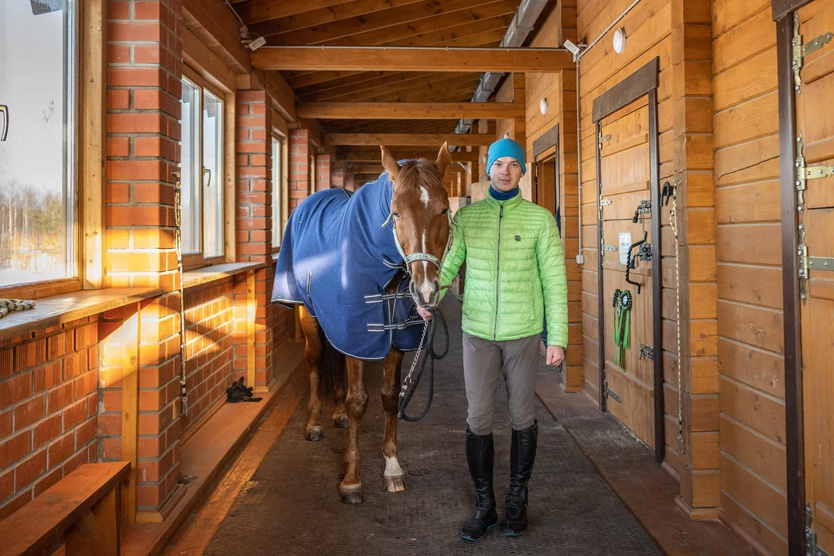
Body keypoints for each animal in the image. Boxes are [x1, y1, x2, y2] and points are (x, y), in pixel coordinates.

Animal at [272, 141, 452, 502]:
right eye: (395, 213)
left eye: (444, 210)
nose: (426, 289)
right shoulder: (358, 333)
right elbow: (359, 402)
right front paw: (351, 479)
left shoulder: (393, 340)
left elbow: (390, 397)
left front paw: (392, 467)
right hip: (310, 319)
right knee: (316, 361)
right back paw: (315, 422)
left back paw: (337, 413)